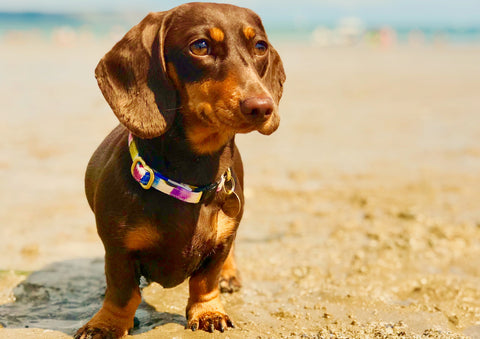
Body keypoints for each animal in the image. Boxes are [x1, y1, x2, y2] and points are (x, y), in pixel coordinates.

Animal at [75, 1, 284, 338]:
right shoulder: (117, 248)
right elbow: (122, 292)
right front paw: (106, 324)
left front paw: (209, 311)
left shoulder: (220, 243)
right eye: (200, 46)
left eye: (260, 46)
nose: (262, 107)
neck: (188, 180)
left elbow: (205, 280)